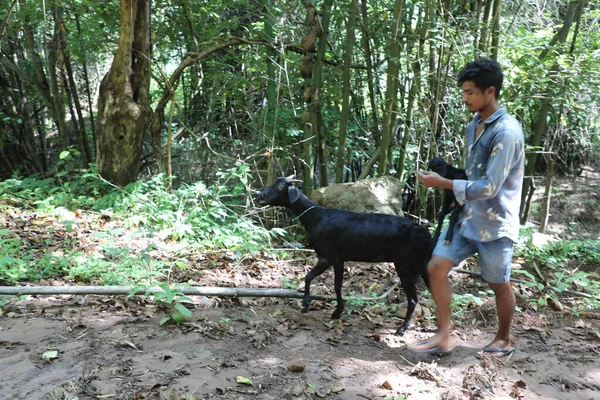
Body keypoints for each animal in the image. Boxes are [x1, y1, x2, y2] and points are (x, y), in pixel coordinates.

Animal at [255, 176, 434, 334]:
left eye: (280, 187)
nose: (259, 195)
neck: (316, 218)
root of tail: (427, 235)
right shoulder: (339, 259)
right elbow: (333, 283)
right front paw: (335, 310)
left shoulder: (329, 255)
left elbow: (316, 279)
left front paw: (310, 306)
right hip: (422, 265)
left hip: (405, 264)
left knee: (413, 298)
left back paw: (402, 329)